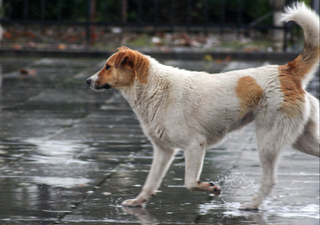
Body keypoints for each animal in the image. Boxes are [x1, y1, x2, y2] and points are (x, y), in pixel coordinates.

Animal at [86, 2, 318, 210]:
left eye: (107, 67)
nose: (88, 81)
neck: (154, 87)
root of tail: (286, 70)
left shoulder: (194, 145)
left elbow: (189, 183)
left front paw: (211, 188)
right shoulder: (164, 150)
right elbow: (150, 182)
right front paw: (137, 202)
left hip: (268, 141)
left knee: (269, 180)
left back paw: (251, 205)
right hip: (300, 139)